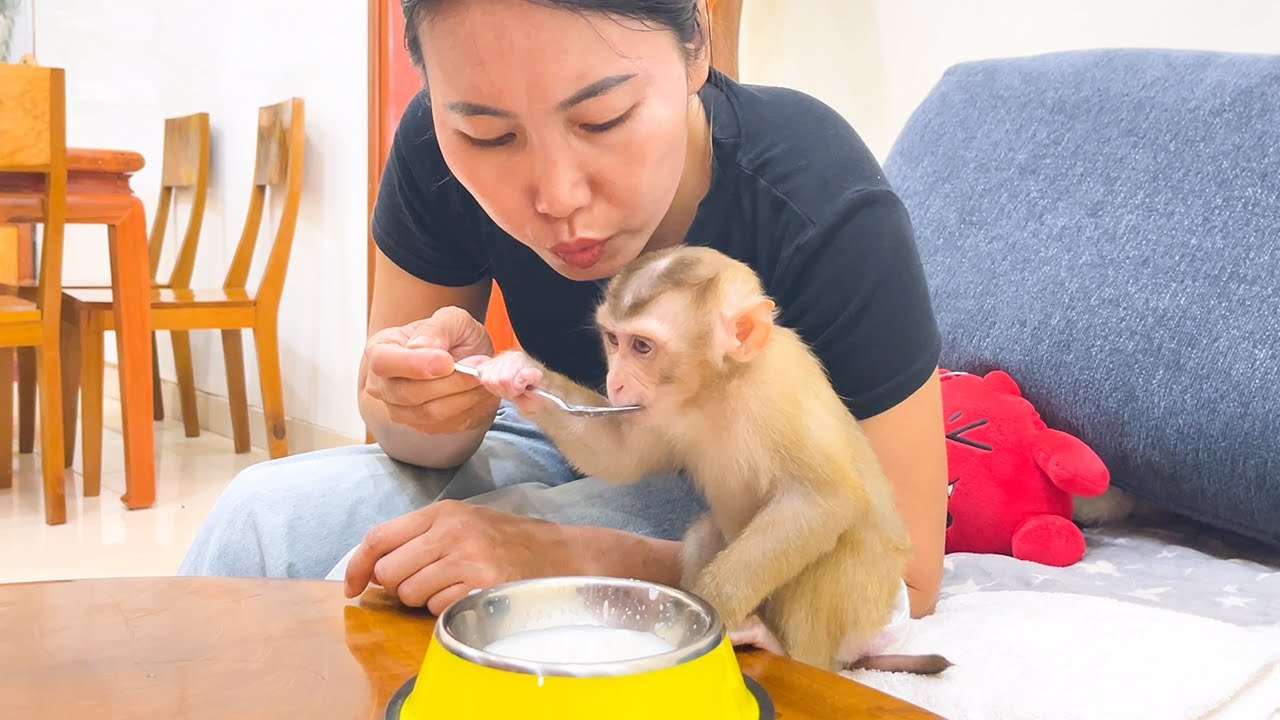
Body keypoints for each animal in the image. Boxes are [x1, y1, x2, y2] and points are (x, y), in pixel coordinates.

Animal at [472, 245, 952, 676]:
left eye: (641, 347)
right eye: (613, 340)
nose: (616, 382)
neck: (717, 386)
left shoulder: (776, 390)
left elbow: (823, 499)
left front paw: (710, 614)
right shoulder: (659, 411)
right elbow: (619, 455)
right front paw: (516, 374)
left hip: (869, 601)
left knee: (837, 552)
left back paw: (781, 648)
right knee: (706, 532)